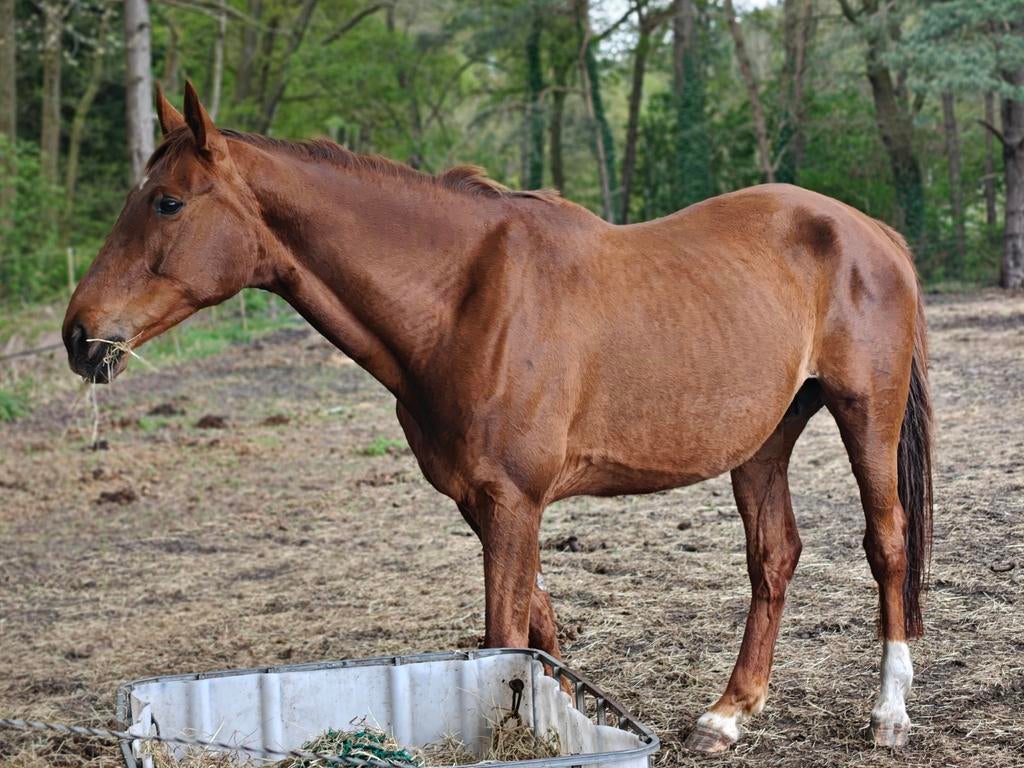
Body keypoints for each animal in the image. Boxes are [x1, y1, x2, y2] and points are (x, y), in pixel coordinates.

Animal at [63, 84, 932, 753]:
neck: (464, 298)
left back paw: (889, 711)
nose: (79, 335)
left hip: (865, 414)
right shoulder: (487, 506)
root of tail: (869, 231)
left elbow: (502, 638)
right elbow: (535, 638)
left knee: (886, 542)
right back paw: (728, 714)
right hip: (763, 439)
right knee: (773, 558)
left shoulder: (513, 503)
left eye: (168, 201)